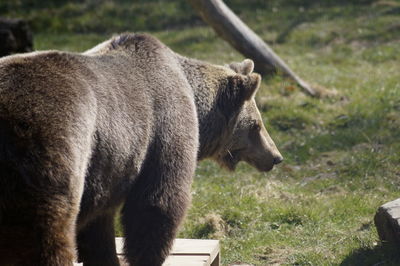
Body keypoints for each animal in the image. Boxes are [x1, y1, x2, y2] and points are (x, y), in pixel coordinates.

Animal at [0, 33, 282, 266]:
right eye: (256, 125)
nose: (275, 157)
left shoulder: (105, 166)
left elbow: (98, 228)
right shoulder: (163, 130)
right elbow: (157, 204)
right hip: (51, 145)